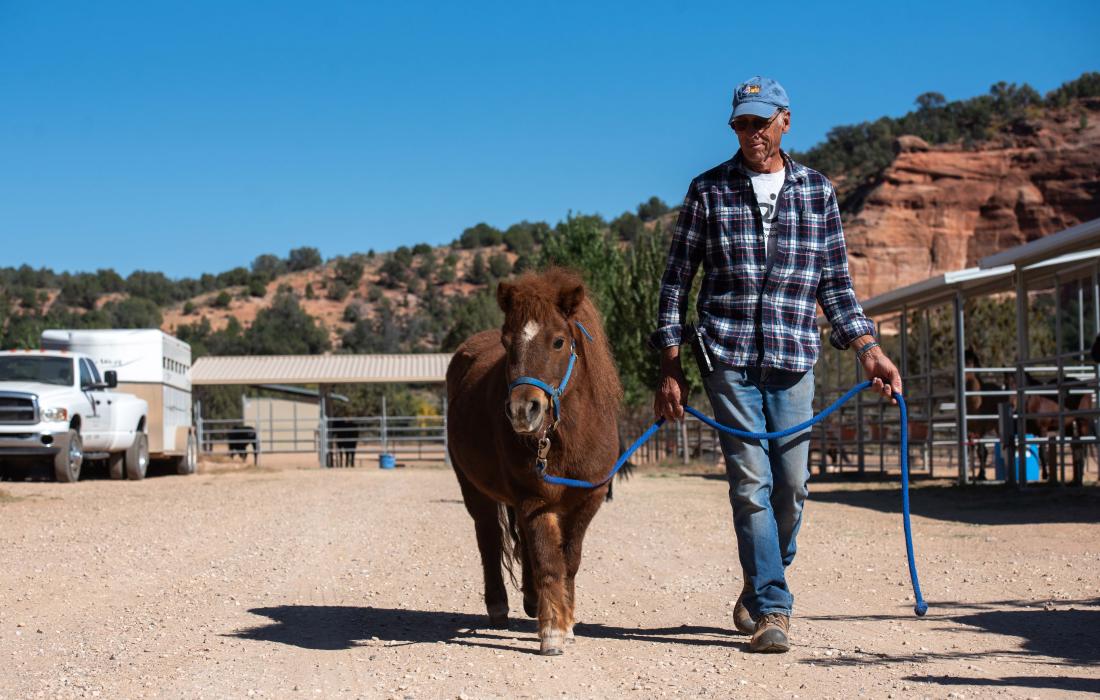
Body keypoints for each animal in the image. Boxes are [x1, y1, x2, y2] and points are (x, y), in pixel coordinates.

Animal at [446, 268, 623, 656]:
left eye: (558, 341)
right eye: (507, 342)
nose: (522, 410)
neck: (565, 437)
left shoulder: (587, 500)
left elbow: (569, 560)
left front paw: (566, 622)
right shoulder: (534, 498)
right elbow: (548, 562)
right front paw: (553, 631)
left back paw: (530, 600)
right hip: (473, 489)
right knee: (488, 538)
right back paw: (499, 606)